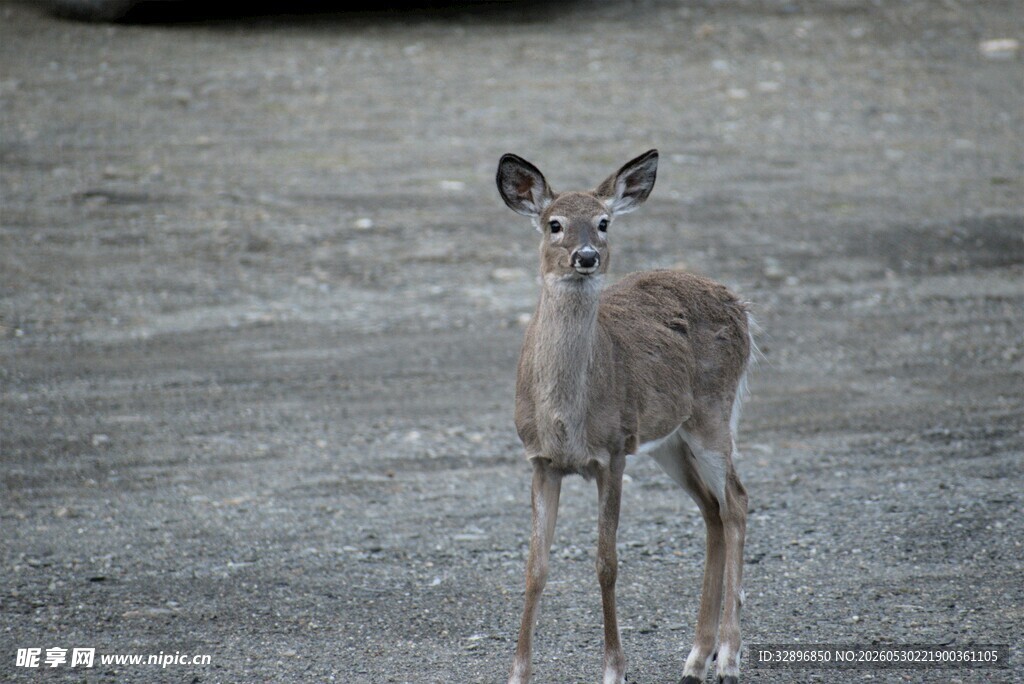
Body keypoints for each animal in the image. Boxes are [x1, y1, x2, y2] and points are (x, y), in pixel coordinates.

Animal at [496, 150, 755, 684]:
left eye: (603, 222)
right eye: (554, 224)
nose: (586, 256)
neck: (566, 419)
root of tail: (740, 304)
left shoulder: (612, 451)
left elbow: (606, 563)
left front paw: (614, 669)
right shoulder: (539, 460)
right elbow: (535, 566)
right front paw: (518, 672)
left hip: (713, 414)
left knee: (737, 502)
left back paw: (728, 658)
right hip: (670, 440)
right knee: (712, 509)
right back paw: (696, 658)